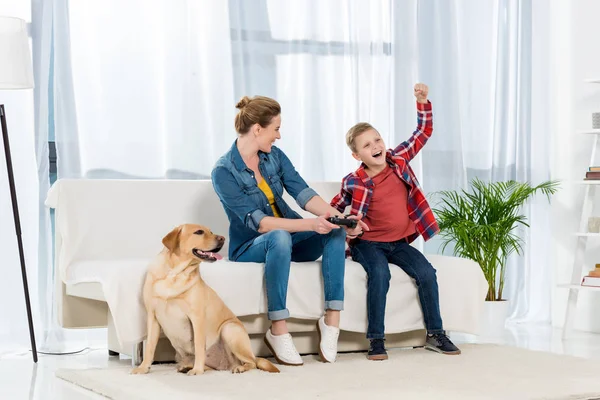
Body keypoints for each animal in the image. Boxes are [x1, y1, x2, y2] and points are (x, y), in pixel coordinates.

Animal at [131, 223, 278, 376]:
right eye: (199, 232)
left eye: (211, 231)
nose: (222, 238)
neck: (175, 275)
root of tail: (226, 365)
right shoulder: (152, 317)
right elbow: (149, 347)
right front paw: (143, 368)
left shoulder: (197, 317)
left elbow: (199, 345)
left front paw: (197, 370)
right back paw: (187, 367)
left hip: (229, 329)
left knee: (252, 362)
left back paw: (239, 368)